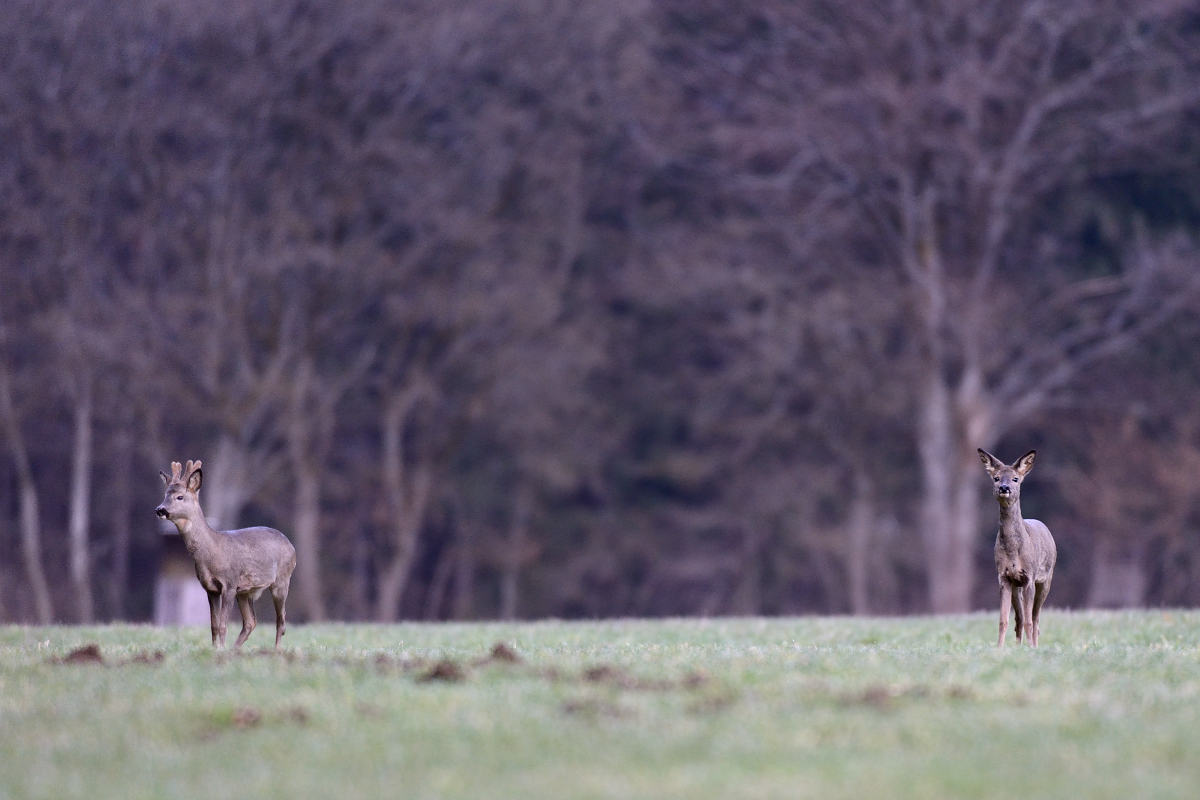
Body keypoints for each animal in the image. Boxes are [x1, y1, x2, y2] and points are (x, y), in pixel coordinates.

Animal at [156, 455, 296, 652]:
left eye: (180, 496)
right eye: (165, 494)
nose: (160, 509)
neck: (213, 552)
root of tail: (291, 545)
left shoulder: (230, 583)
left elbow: (223, 624)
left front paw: (220, 649)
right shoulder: (210, 588)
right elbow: (214, 625)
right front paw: (216, 649)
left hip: (282, 579)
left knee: (281, 620)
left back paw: (276, 650)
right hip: (246, 591)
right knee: (251, 622)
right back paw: (235, 650)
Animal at [979, 448, 1056, 647]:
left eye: (1015, 479)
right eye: (996, 478)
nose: (1004, 488)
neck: (1014, 551)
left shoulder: (1029, 576)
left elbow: (1030, 619)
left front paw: (1031, 649)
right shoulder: (1004, 577)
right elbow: (1003, 620)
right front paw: (999, 649)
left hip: (1046, 579)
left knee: (1035, 618)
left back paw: (1034, 645)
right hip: (1017, 587)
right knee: (1019, 618)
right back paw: (1018, 645)